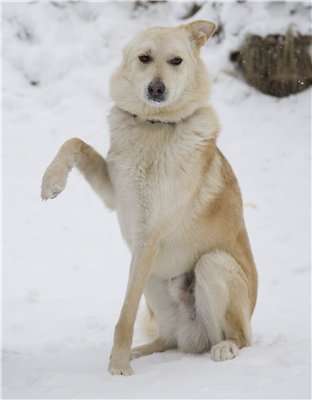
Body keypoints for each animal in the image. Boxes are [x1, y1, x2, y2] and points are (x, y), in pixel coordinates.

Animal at [40, 20, 258, 376]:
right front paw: (51, 181)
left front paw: (118, 367)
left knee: (240, 338)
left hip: (211, 265)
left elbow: (125, 316)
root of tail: (193, 336)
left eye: (176, 61)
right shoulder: (115, 194)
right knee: (167, 340)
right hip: (155, 285)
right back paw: (141, 351)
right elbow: (75, 142)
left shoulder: (148, 237)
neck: (155, 126)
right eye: (144, 58)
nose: (157, 89)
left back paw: (224, 347)